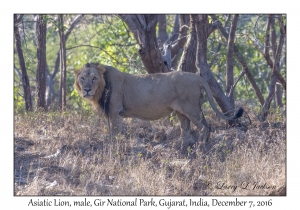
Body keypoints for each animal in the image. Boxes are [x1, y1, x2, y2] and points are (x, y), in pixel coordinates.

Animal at [74, 62, 243, 151]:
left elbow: (114, 133)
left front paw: (113, 147)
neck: (100, 90)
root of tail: (197, 76)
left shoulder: (115, 112)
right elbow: (110, 131)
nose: (87, 89)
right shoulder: (110, 113)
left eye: (94, 78)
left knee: (205, 126)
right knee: (186, 128)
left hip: (192, 108)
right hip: (181, 111)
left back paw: (201, 147)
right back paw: (183, 147)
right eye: (82, 78)